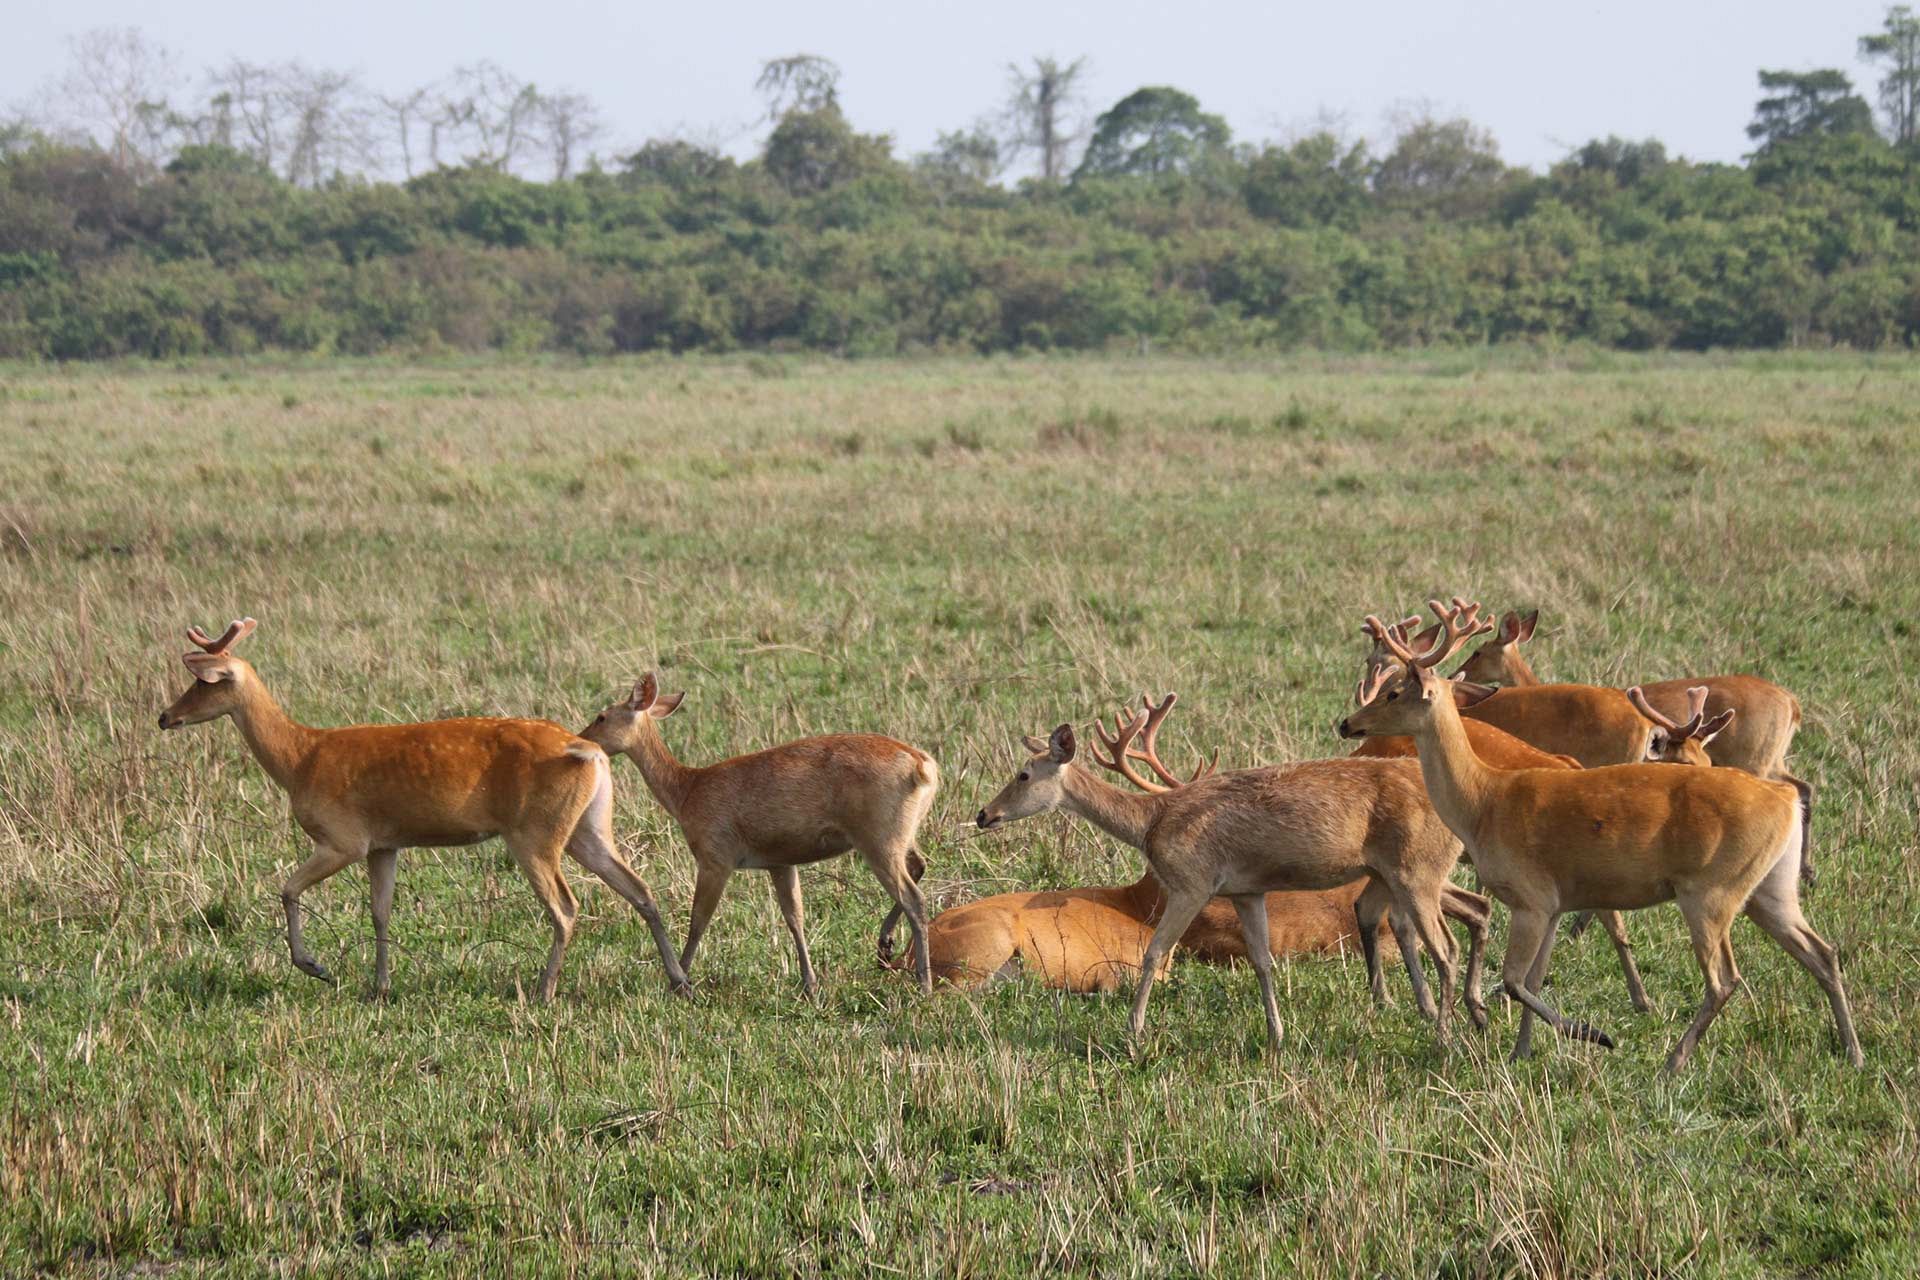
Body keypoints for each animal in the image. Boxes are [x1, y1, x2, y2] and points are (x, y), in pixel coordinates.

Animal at [156, 618, 689, 1002]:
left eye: (202, 682)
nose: (165, 716)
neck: (300, 757)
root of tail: (589, 751)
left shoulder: (342, 838)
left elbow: (287, 889)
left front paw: (316, 968)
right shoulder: (384, 844)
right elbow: (380, 911)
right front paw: (380, 986)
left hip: (534, 833)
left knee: (566, 906)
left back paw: (543, 991)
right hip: (588, 828)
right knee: (639, 889)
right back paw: (678, 980)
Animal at [580, 672, 939, 996]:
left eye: (601, 716)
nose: (582, 738)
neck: (687, 791)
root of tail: (923, 766)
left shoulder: (715, 858)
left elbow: (698, 920)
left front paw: (680, 982)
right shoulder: (780, 862)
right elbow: (794, 917)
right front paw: (809, 985)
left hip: (879, 840)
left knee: (914, 898)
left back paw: (923, 984)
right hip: (900, 836)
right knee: (919, 865)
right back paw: (885, 949)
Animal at [973, 693, 1489, 1053]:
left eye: (1023, 774)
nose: (983, 814)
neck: (1153, 823)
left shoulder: (1192, 881)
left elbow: (1155, 952)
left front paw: (1133, 1030)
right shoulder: (1246, 891)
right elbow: (1262, 960)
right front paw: (1277, 1035)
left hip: (1416, 871)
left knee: (1446, 946)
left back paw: (1445, 1036)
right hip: (1397, 874)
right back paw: (1472, 1015)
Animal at [1453, 608, 1815, 881]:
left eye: (1477, 651)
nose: (1458, 671)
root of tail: (1793, 703)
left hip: (1756, 759)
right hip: (1771, 759)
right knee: (1804, 787)